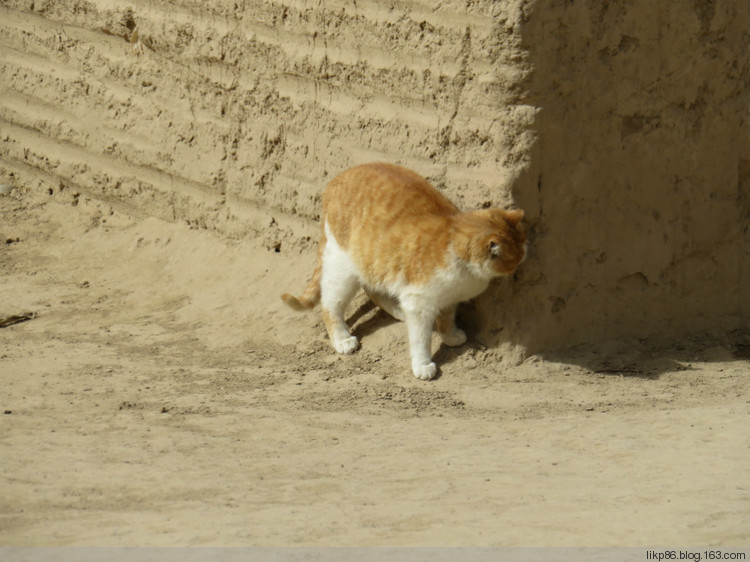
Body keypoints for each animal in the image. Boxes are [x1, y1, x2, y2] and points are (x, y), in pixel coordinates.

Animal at [282, 163, 528, 380]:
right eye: (515, 260)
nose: (521, 265)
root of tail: (333, 182)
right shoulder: (418, 302)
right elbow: (421, 338)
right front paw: (423, 365)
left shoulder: (448, 297)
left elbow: (447, 317)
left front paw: (450, 335)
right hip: (344, 269)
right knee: (330, 304)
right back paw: (342, 339)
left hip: (375, 264)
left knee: (372, 289)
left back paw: (396, 310)